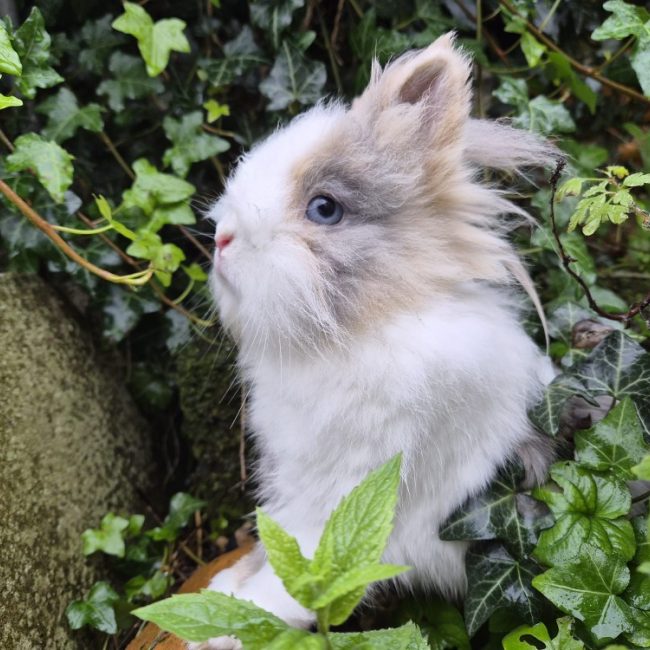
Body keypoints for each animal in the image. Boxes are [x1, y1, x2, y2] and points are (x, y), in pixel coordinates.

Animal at [194, 33, 557, 649]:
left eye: (325, 208)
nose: (222, 238)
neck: (367, 330)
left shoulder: (347, 500)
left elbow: (298, 580)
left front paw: (225, 627)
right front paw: (223, 589)